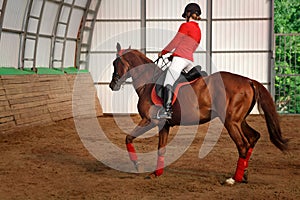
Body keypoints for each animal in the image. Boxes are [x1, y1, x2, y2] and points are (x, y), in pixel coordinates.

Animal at [108, 43, 288, 184]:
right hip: (239, 121)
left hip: (230, 122)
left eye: (115, 62)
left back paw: (233, 179)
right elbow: (161, 149)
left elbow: (128, 138)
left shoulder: (149, 120)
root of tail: (249, 81)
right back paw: (243, 174)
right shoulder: (164, 125)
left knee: (243, 144)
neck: (148, 82)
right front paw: (156, 173)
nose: (112, 85)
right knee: (253, 137)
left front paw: (138, 165)